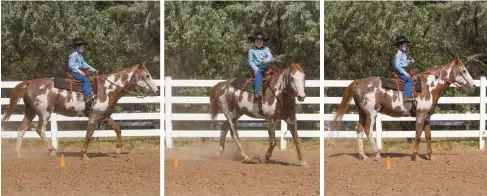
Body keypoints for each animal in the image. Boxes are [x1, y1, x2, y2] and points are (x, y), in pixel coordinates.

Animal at [1, 62, 158, 160]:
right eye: (147, 75)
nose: (156, 90)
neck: (107, 88)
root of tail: (29, 83)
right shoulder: (94, 117)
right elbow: (89, 135)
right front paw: (84, 155)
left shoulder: (104, 117)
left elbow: (118, 129)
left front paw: (118, 150)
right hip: (44, 113)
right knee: (39, 129)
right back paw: (52, 150)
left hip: (30, 112)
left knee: (22, 128)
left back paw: (19, 154)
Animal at [332, 56, 476, 161]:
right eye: (464, 71)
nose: (474, 85)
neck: (429, 87)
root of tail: (359, 82)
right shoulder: (420, 115)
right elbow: (418, 135)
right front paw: (415, 156)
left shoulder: (427, 117)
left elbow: (428, 136)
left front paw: (430, 156)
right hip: (371, 113)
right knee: (368, 129)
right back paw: (377, 154)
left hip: (362, 113)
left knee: (359, 129)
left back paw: (363, 155)